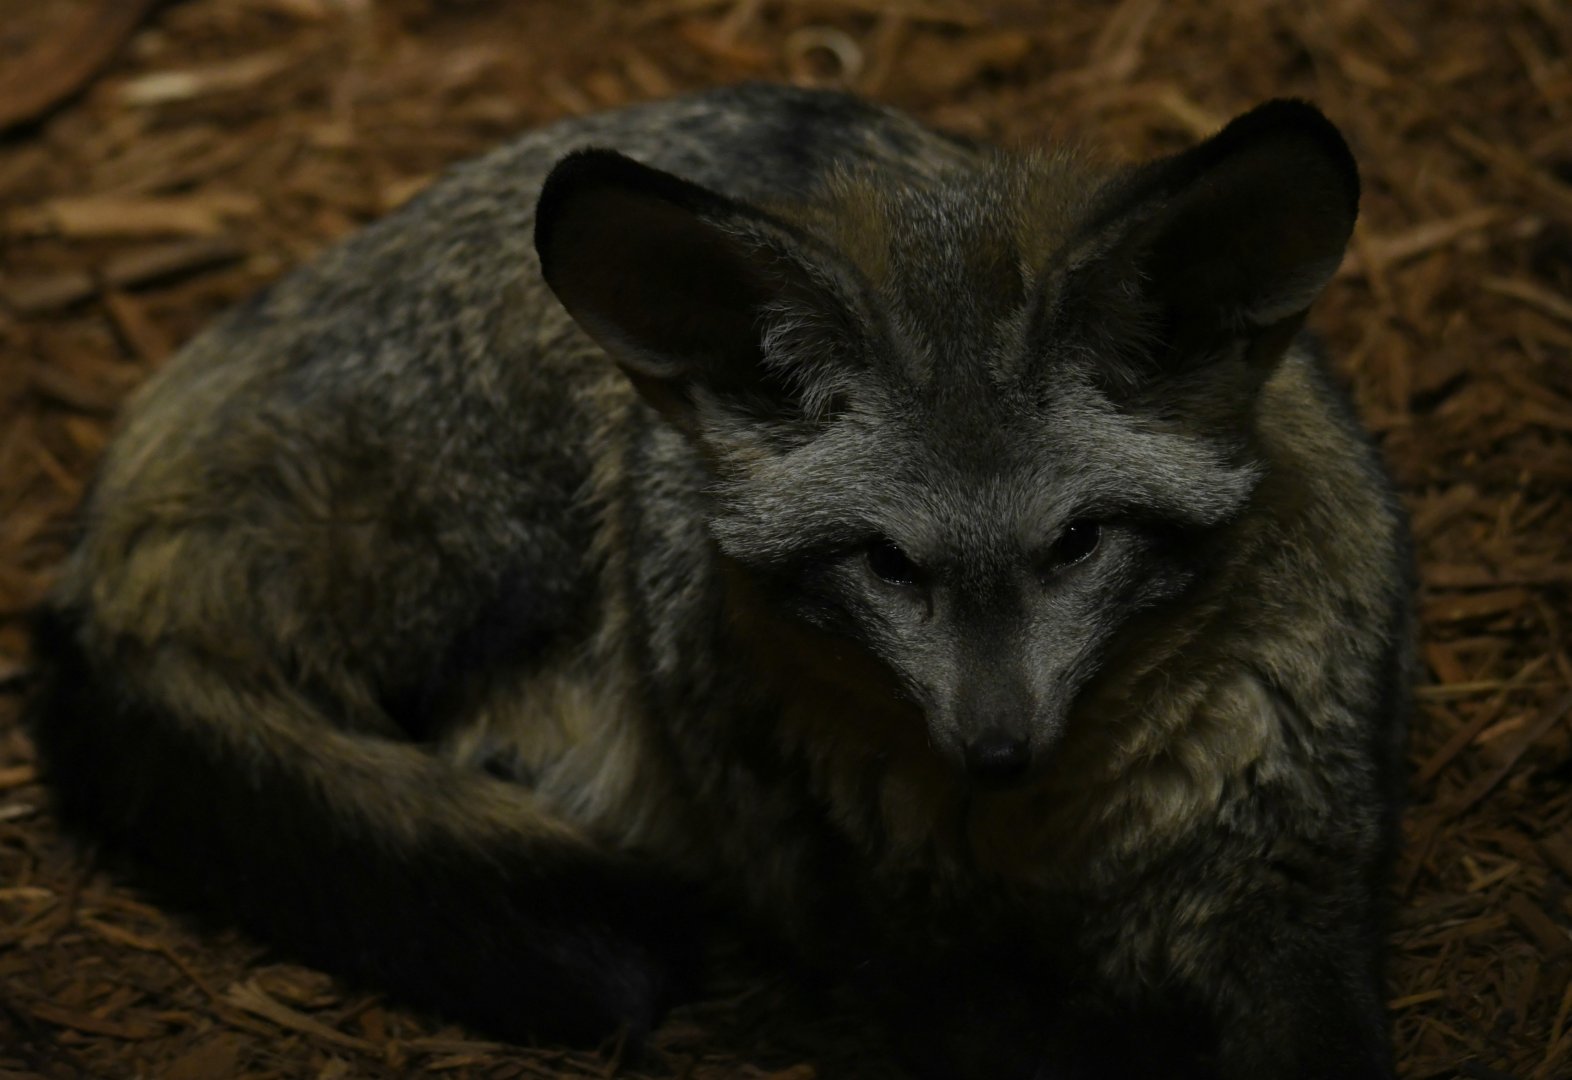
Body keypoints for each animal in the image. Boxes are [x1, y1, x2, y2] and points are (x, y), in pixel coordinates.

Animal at [25, 83, 1411, 1079]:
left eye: (1078, 544)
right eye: (885, 563)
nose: (995, 750)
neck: (1061, 858)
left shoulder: (1299, 895)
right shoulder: (910, 960)